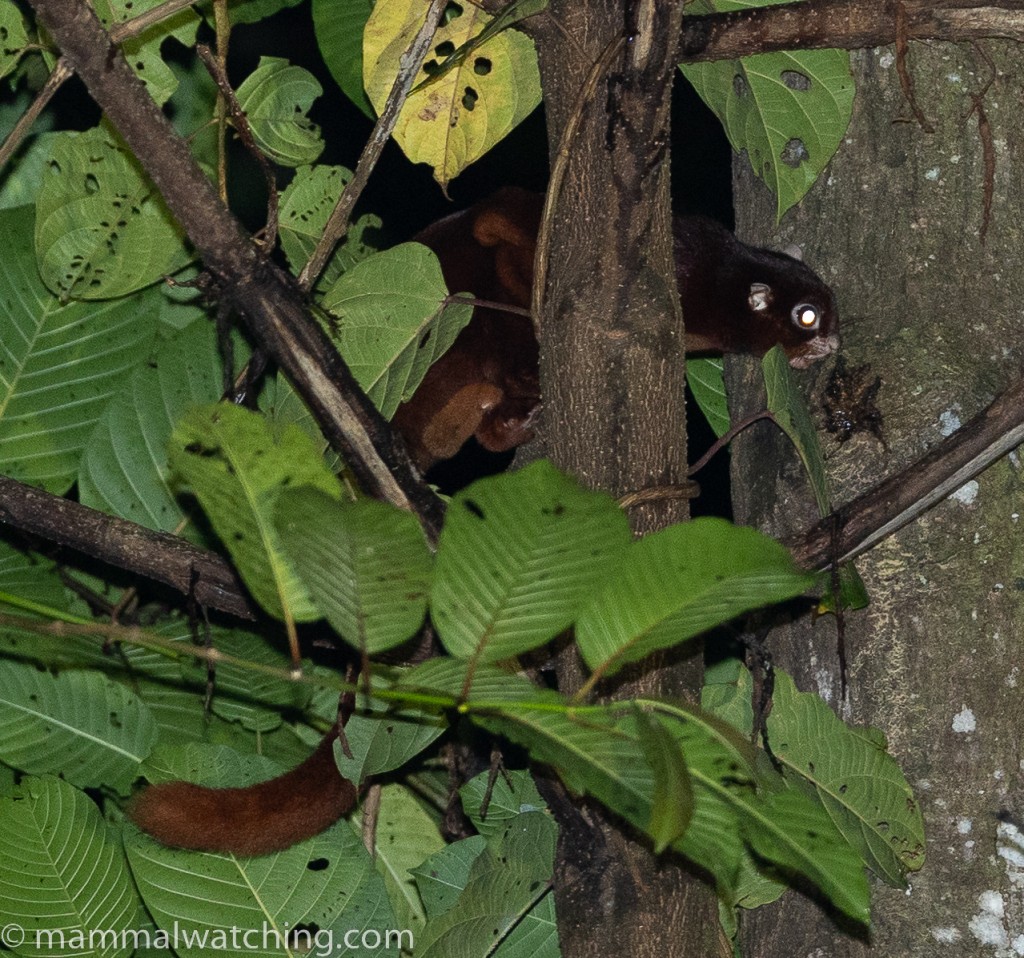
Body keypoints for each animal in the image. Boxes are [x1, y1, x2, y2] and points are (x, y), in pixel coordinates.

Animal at [129, 189, 840, 856]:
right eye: (805, 316)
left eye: (827, 314)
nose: (833, 341)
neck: (713, 279)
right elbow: (507, 222)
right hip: (457, 343)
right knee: (492, 311)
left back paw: (512, 424)